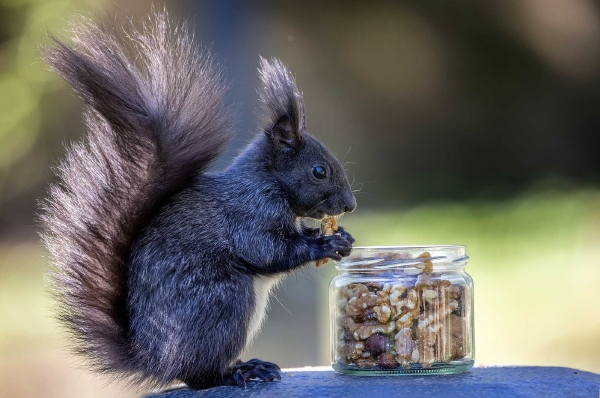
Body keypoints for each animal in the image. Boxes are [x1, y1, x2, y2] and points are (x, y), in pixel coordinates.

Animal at [41, 10, 356, 390]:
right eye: (319, 171)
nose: (350, 205)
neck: (267, 180)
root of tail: (155, 359)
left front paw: (340, 237)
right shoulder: (249, 212)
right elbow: (267, 250)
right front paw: (325, 244)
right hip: (223, 301)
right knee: (199, 375)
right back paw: (239, 371)